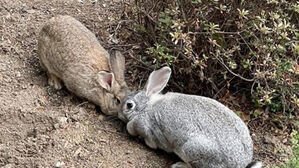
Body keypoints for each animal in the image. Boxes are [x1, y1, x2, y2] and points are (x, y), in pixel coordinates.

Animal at [118, 66, 264, 167]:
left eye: (129, 105)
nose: (119, 114)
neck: (147, 106)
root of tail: (241, 164)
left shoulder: (147, 127)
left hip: (191, 150)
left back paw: (178, 165)